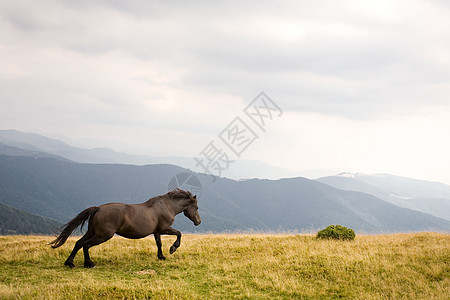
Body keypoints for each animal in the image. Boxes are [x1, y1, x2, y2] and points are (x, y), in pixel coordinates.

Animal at [49, 189, 202, 268]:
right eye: (196, 207)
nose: (198, 222)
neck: (167, 206)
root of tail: (98, 208)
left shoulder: (157, 231)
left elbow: (159, 243)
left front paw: (161, 256)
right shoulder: (165, 228)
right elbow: (179, 234)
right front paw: (172, 248)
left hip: (92, 232)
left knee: (79, 243)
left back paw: (69, 263)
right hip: (103, 235)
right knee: (86, 245)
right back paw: (89, 264)